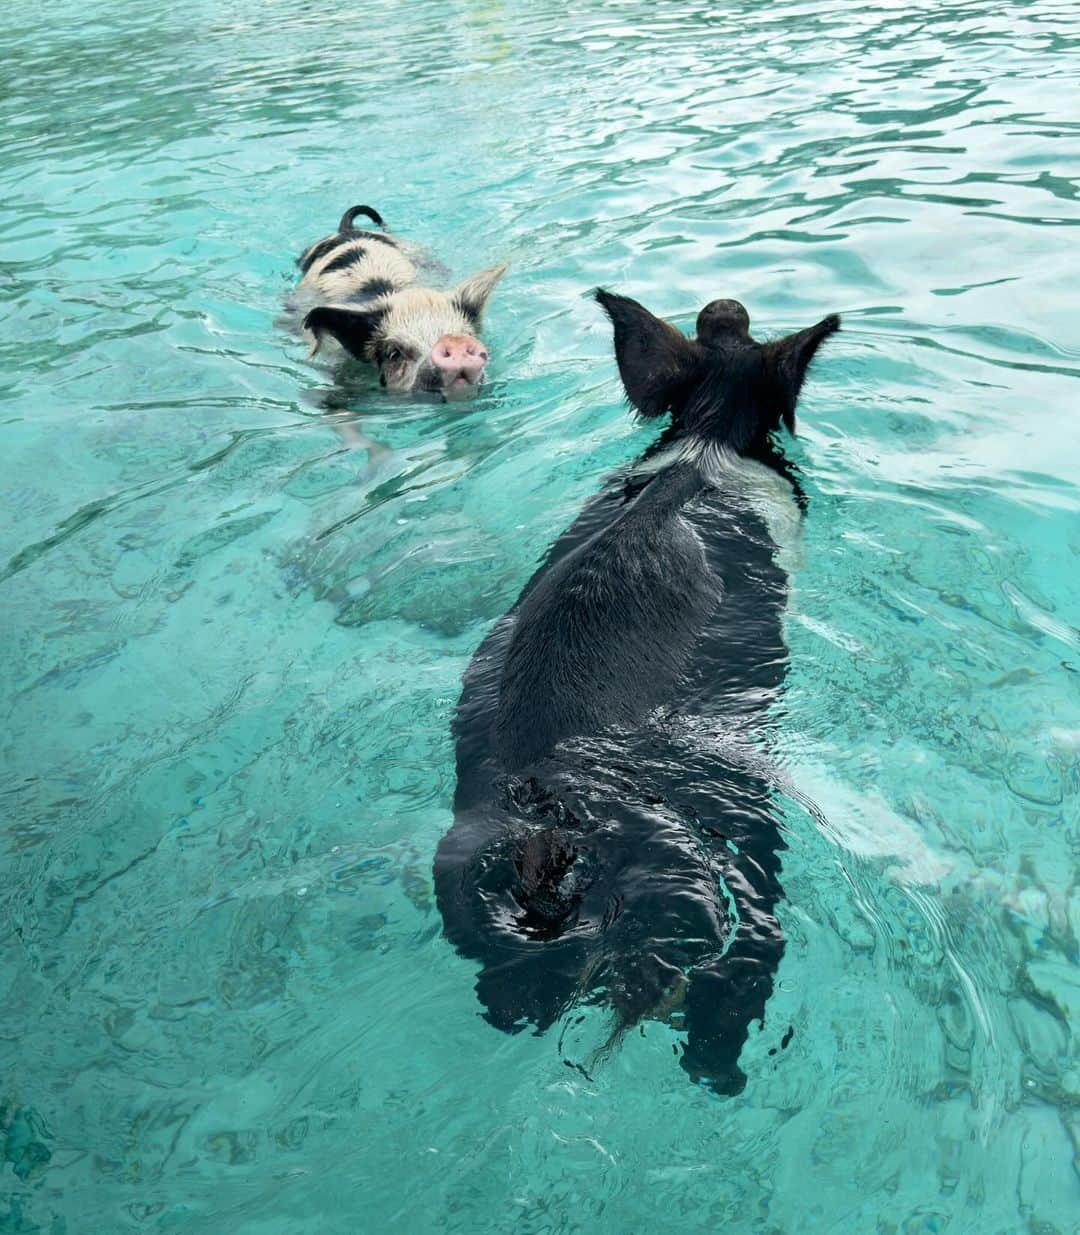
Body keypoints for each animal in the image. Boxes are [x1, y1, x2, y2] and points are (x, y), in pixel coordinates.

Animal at [432, 286, 835, 1091]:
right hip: (740, 837)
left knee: (509, 997)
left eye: (723, 326)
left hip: (462, 878)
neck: (708, 439)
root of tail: (552, 825)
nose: (725, 304)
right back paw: (722, 1061)